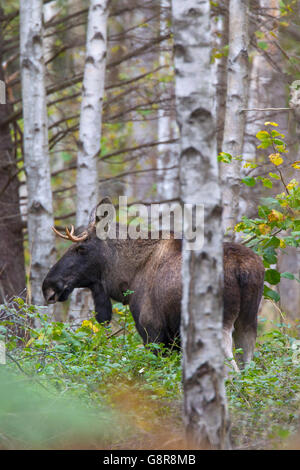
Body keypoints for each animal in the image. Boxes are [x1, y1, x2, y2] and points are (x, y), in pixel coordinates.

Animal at [42, 196, 264, 370]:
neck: (127, 277)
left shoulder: (152, 331)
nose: (48, 286)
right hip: (247, 322)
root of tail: (243, 269)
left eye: (81, 248)